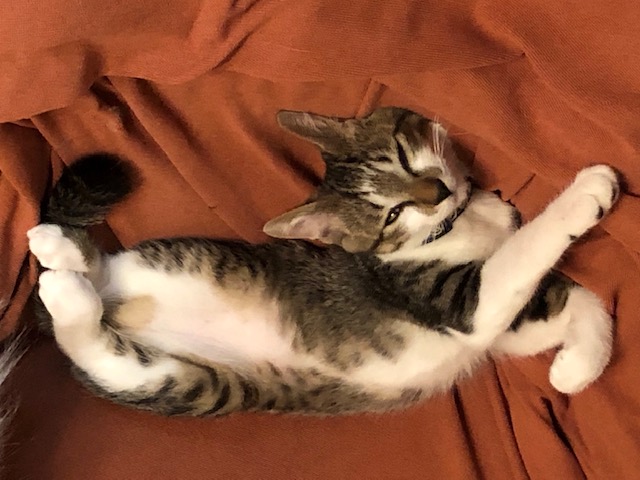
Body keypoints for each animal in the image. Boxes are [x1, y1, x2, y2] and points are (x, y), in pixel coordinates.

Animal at [27, 107, 618, 416]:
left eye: (404, 156)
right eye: (392, 212)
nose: (438, 190)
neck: (459, 225)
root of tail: (119, 305)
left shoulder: (499, 327)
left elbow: (568, 302)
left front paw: (575, 367)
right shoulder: (459, 301)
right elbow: (528, 247)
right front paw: (587, 192)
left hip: (194, 380)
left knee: (98, 296)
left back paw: (62, 258)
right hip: (165, 365)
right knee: (83, 330)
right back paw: (61, 278)